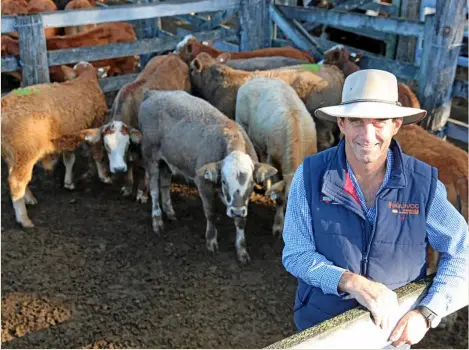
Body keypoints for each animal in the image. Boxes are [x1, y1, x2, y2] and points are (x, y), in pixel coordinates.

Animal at [1, 61, 110, 228]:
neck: (84, 81)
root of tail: (5, 104)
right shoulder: (97, 123)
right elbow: (98, 154)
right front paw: (104, 176)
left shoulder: (68, 135)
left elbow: (69, 159)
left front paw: (68, 182)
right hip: (25, 152)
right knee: (16, 182)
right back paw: (24, 219)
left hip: (12, 153)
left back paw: (29, 198)